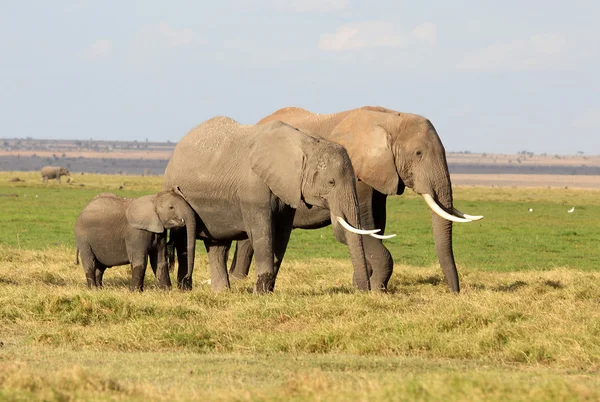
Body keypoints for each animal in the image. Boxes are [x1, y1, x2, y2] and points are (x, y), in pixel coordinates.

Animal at [163, 115, 380, 292]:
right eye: (331, 182)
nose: (363, 291)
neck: (305, 143)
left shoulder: (287, 191)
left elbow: (281, 235)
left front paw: (267, 291)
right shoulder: (253, 188)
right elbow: (263, 233)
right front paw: (260, 294)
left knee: (218, 245)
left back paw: (221, 292)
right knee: (185, 239)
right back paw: (185, 289)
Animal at [227, 107, 486, 294]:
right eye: (418, 154)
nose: (455, 292)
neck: (388, 118)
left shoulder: (380, 174)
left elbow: (375, 226)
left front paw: (366, 286)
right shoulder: (357, 173)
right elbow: (358, 227)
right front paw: (376, 291)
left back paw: (237, 278)